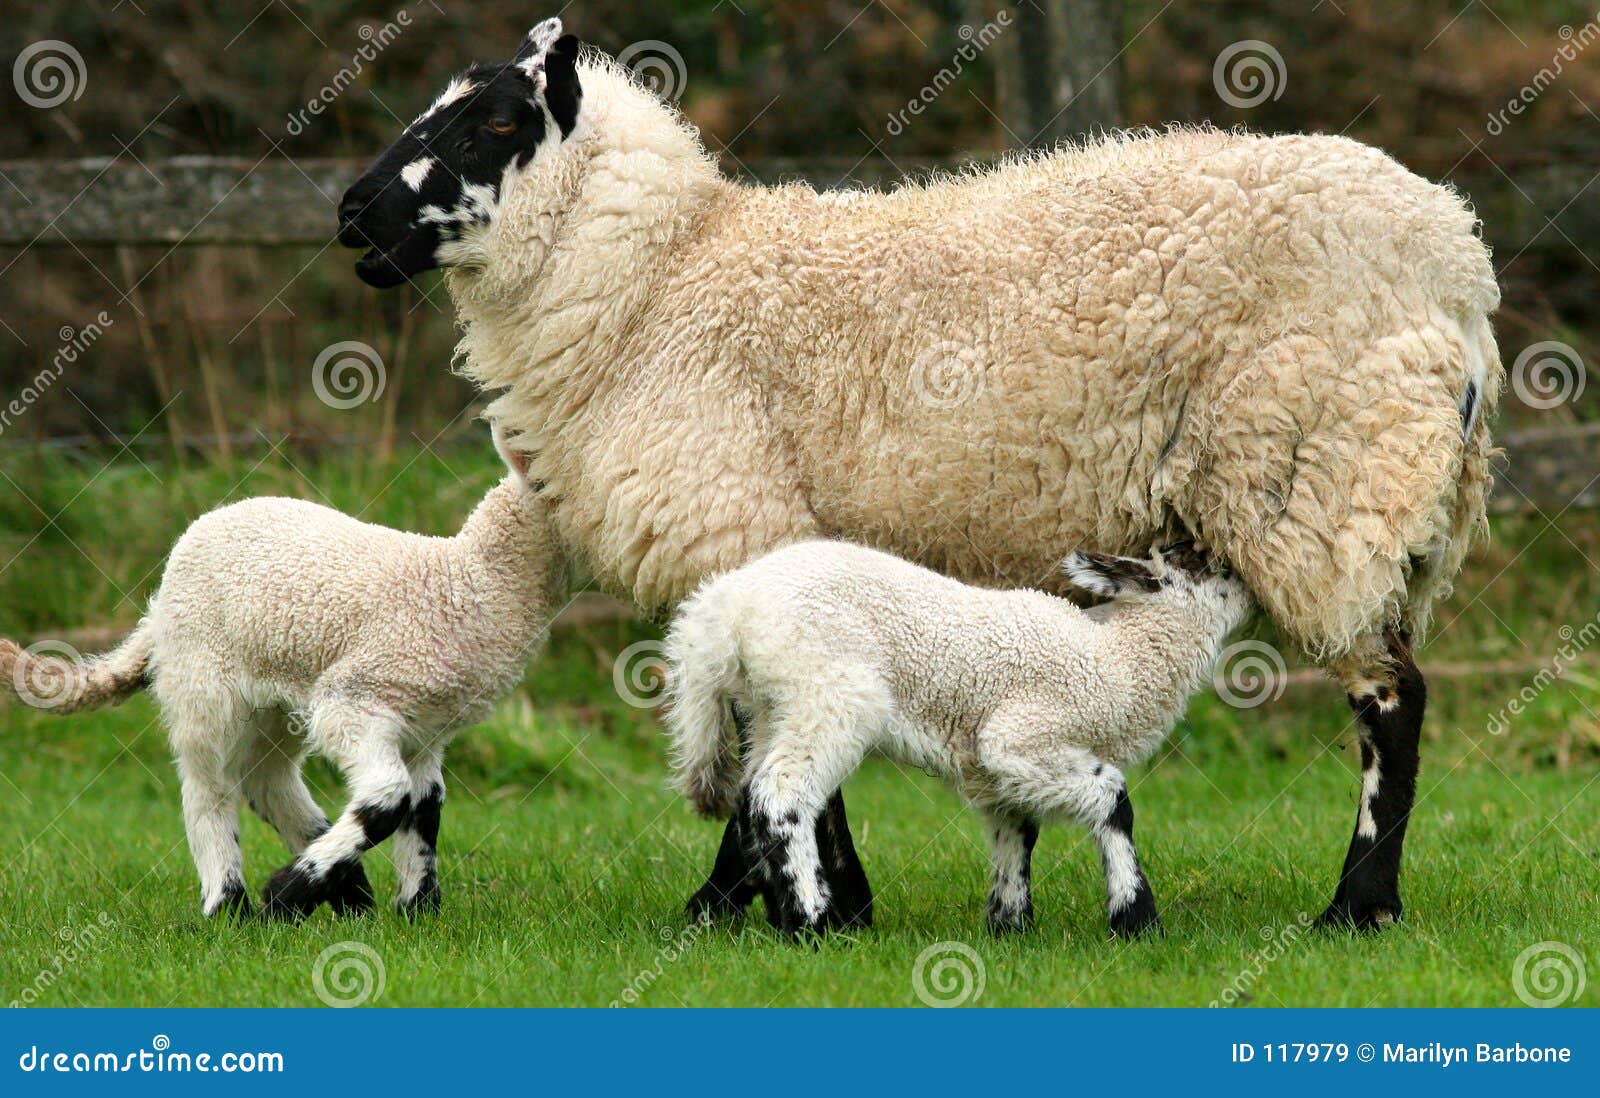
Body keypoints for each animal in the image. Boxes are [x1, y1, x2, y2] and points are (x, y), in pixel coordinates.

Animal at [0, 424, 566, 920]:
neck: (465, 584)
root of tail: (157, 606)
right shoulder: (354, 697)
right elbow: (389, 798)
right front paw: (284, 895)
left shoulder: (425, 729)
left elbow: (422, 809)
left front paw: (418, 911)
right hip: (204, 678)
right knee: (208, 788)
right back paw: (231, 907)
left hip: (275, 699)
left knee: (267, 780)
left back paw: (348, 892)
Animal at [664, 539, 1251, 937]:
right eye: (1208, 564)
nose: (1249, 585)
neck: (1116, 658)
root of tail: (720, 612)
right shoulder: (1020, 736)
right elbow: (1114, 800)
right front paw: (1135, 918)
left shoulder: (995, 767)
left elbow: (1018, 829)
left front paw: (1010, 925)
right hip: (828, 691)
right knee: (780, 796)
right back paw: (813, 923)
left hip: (766, 705)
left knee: (751, 794)